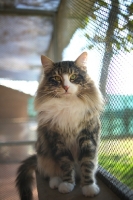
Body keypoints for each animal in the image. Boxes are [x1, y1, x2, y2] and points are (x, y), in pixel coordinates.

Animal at [15, 52, 104, 200]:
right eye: (57, 78)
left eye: (73, 77)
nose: (66, 87)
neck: (67, 106)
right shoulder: (58, 141)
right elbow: (66, 164)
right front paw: (67, 184)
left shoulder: (87, 137)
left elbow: (87, 164)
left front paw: (89, 187)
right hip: (44, 154)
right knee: (49, 172)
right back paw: (56, 181)